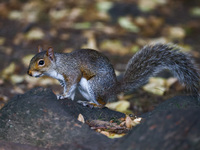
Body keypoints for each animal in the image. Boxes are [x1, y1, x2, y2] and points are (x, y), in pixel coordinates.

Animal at [27, 43, 199, 106]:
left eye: (41, 62)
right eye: (31, 59)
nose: (28, 73)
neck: (57, 64)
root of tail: (113, 88)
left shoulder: (71, 72)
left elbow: (71, 84)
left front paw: (63, 96)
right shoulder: (64, 80)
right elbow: (71, 89)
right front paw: (68, 97)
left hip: (95, 85)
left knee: (103, 104)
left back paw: (93, 104)